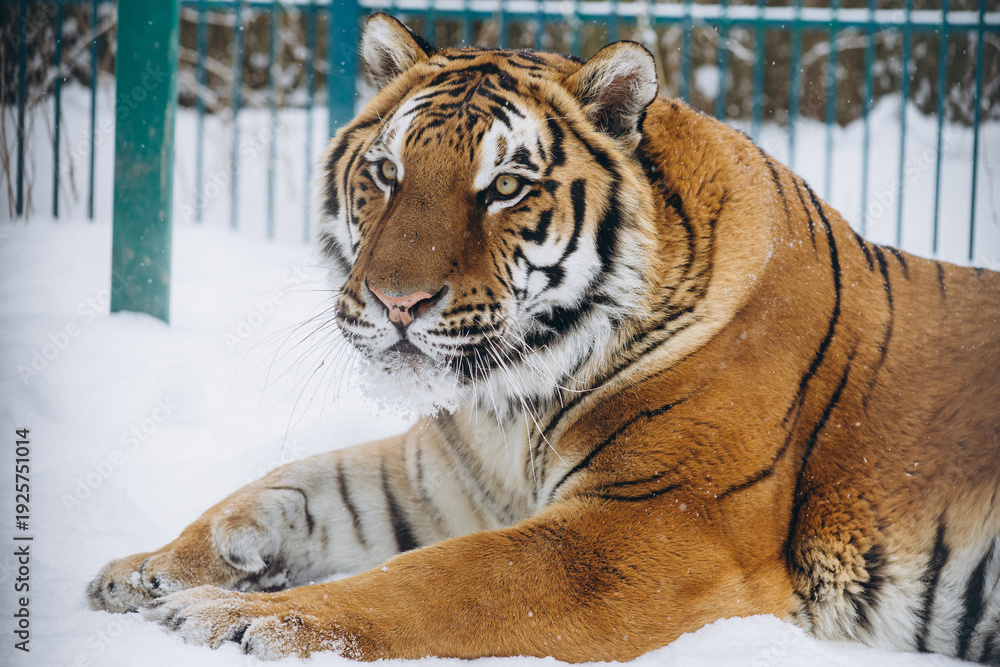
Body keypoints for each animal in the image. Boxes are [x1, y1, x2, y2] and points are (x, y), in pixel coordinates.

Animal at [88, 12, 1000, 663]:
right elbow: (282, 491)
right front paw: (144, 570)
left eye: (505, 187)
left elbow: (438, 581)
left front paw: (236, 618)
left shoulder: (652, 531)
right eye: (386, 172)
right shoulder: (439, 481)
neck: (511, 398)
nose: (396, 301)